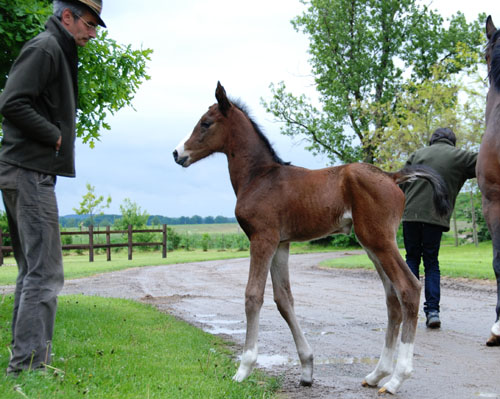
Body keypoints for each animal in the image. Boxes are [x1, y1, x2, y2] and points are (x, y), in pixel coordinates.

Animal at [174, 83, 452, 394]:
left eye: (205, 123)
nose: (177, 153)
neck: (259, 177)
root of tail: (392, 177)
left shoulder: (262, 238)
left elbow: (253, 295)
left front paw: (243, 369)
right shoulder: (281, 243)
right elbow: (284, 299)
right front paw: (307, 368)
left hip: (379, 241)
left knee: (409, 288)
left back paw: (396, 378)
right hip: (372, 243)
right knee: (392, 298)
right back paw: (376, 374)